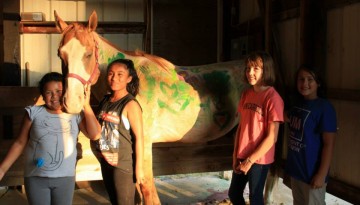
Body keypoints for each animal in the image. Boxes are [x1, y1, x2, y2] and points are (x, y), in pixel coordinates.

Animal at [54, 10, 248, 204]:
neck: (134, 84)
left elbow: (146, 188)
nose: (71, 102)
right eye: (60, 54)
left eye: (88, 54)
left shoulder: (144, 142)